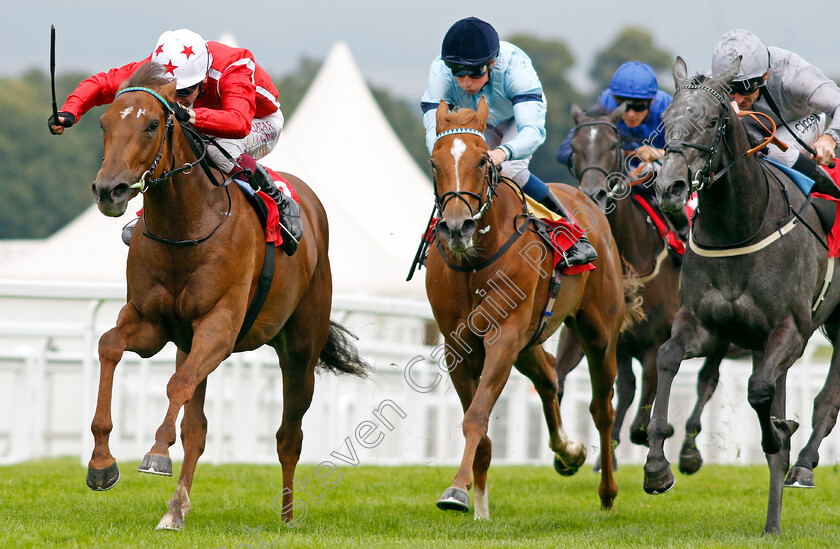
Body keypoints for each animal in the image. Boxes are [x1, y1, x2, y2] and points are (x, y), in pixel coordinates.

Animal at [84, 62, 368, 528]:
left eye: (151, 124)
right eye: (104, 123)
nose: (110, 190)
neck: (186, 223)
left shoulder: (219, 326)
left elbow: (177, 385)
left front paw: (155, 454)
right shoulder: (151, 322)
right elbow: (110, 346)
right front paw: (101, 463)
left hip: (300, 350)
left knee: (289, 434)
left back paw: (287, 515)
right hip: (190, 345)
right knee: (196, 428)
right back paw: (174, 510)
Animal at [426, 96, 644, 516]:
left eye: (482, 160)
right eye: (434, 162)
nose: (457, 227)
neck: (475, 259)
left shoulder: (503, 335)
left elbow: (476, 416)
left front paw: (457, 490)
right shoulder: (457, 344)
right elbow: (479, 423)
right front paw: (477, 505)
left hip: (598, 331)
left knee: (603, 409)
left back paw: (607, 490)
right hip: (529, 342)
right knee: (549, 377)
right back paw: (569, 451)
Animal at [560, 105, 732, 474]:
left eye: (613, 145)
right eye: (575, 147)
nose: (593, 195)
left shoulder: (657, 343)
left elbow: (644, 414)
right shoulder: (587, 335)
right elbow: (562, 378)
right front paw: (571, 453)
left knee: (707, 380)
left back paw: (689, 451)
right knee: (626, 387)